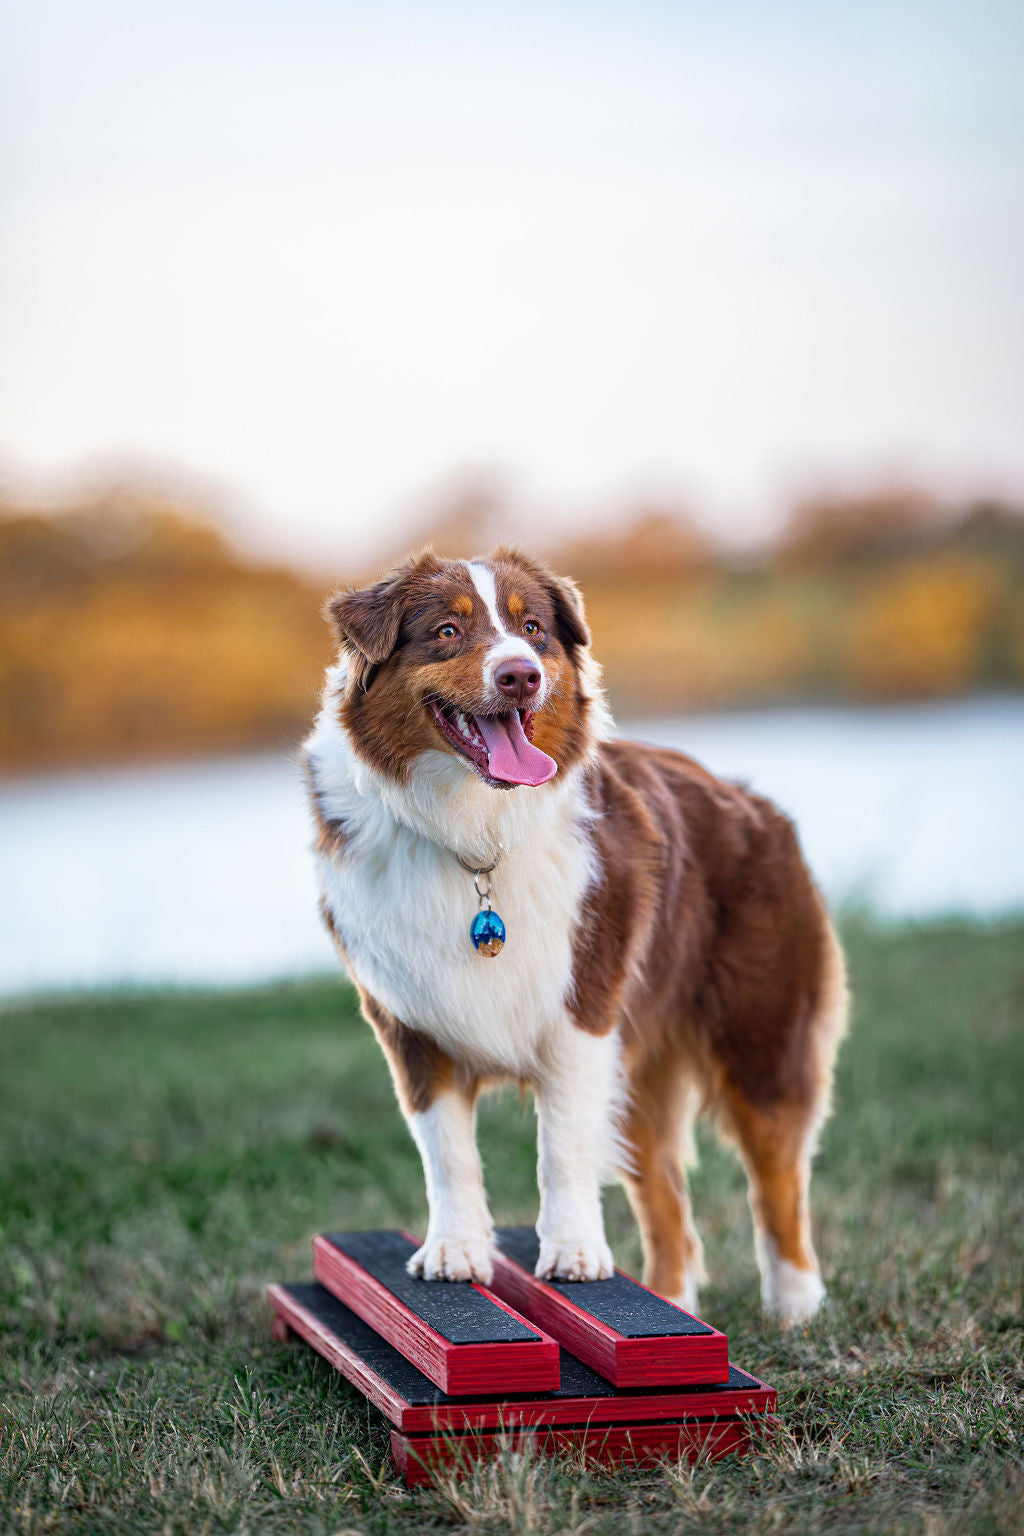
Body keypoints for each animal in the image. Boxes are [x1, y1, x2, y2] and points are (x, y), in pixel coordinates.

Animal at [303, 549, 847, 1320]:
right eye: (446, 631)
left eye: (532, 629)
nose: (520, 674)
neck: (475, 833)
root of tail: (754, 800)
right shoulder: (410, 1024)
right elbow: (447, 1151)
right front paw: (456, 1251)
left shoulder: (582, 1012)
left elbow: (560, 1147)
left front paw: (574, 1254)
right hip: (646, 1069)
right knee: (667, 1199)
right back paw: (670, 1298)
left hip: (761, 1033)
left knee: (778, 1175)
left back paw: (796, 1300)